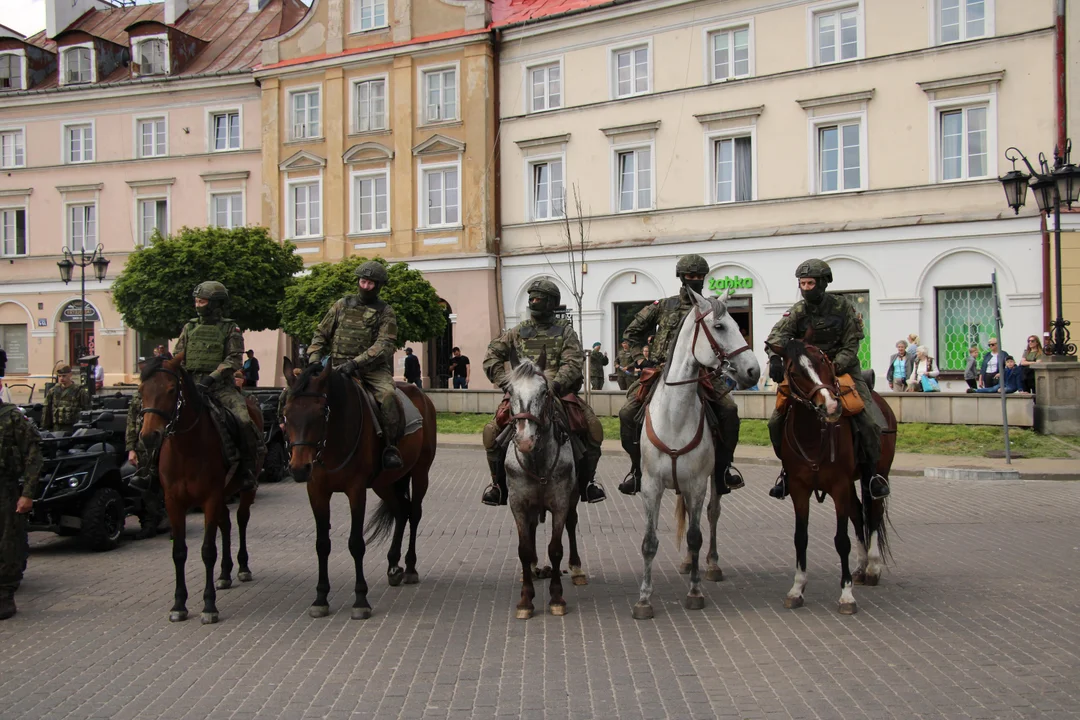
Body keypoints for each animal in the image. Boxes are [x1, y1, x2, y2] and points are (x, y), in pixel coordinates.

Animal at [138, 351, 262, 621]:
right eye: (141, 389)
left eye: (171, 389)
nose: (149, 436)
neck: (186, 449)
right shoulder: (173, 502)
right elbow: (179, 551)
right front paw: (179, 604)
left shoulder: (210, 498)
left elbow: (207, 550)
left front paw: (209, 605)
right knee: (226, 524)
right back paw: (225, 573)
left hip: (245, 490)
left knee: (241, 520)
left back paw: (242, 567)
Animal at [285, 358, 440, 617]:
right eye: (287, 413)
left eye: (321, 412)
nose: (299, 468)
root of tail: (421, 395)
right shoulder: (316, 492)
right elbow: (322, 544)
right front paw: (320, 597)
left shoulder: (356, 491)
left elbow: (356, 543)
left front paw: (360, 599)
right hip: (384, 482)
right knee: (401, 510)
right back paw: (393, 565)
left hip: (420, 472)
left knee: (414, 513)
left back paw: (409, 567)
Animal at [498, 349, 587, 621]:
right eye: (510, 390)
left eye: (545, 391)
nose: (525, 440)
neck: (536, 459)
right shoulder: (518, 504)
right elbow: (524, 549)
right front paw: (526, 599)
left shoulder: (560, 503)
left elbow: (556, 548)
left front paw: (557, 598)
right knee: (532, 527)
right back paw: (533, 568)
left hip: (573, 496)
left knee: (571, 523)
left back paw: (577, 569)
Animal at [630, 287, 760, 621]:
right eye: (720, 326)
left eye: (738, 323)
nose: (754, 370)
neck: (675, 415)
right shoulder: (650, 486)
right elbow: (649, 542)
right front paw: (644, 599)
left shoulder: (698, 484)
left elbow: (696, 536)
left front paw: (695, 591)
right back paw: (689, 562)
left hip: (712, 480)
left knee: (711, 516)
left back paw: (710, 564)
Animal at [773, 338, 898, 613]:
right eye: (794, 372)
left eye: (824, 362)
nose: (831, 406)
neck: (813, 434)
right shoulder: (799, 489)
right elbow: (800, 537)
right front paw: (797, 589)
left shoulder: (839, 485)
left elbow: (842, 540)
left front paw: (847, 594)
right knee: (858, 513)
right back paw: (861, 567)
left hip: (876, 475)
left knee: (873, 513)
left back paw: (872, 568)